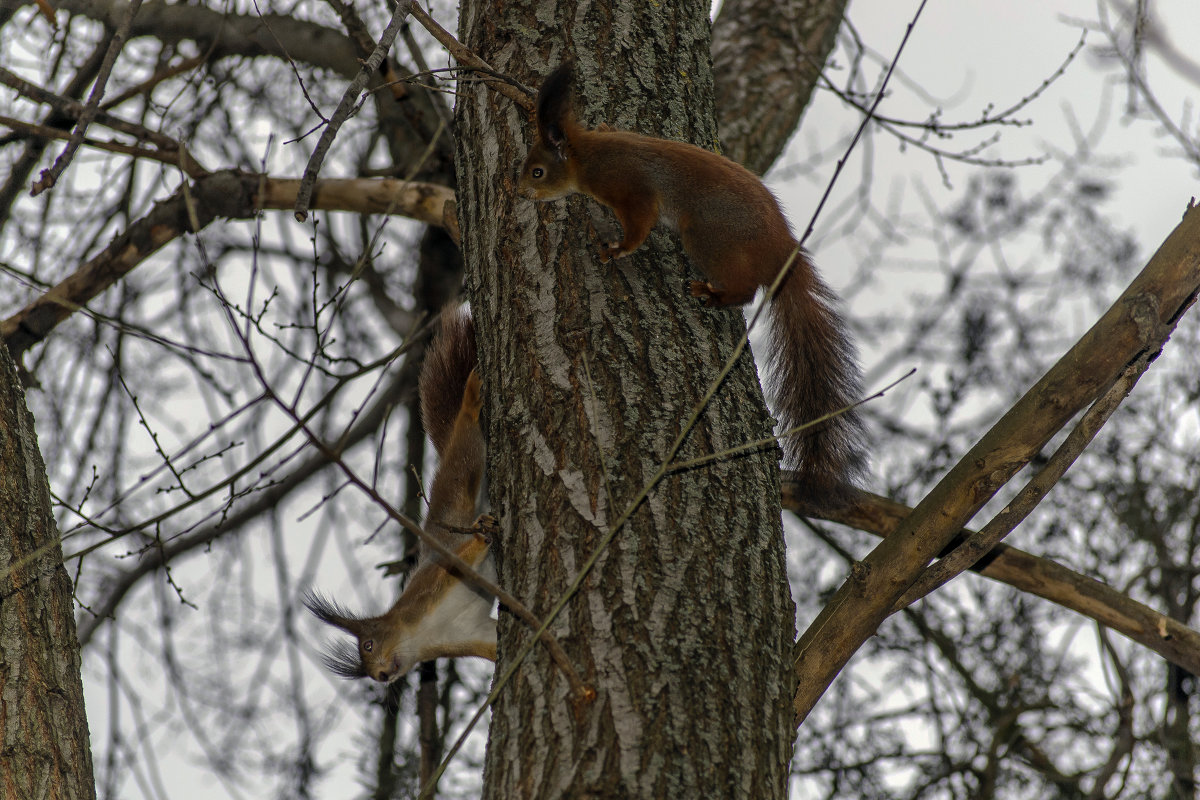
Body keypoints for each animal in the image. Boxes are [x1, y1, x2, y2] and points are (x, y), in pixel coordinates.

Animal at [307, 307, 499, 681]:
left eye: (368, 645)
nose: (381, 677)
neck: (420, 635)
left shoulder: (429, 589)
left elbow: (459, 559)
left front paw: (482, 537)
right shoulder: (468, 633)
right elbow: (492, 644)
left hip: (459, 480)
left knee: (465, 443)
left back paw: (470, 401)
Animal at [520, 62, 868, 503]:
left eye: (537, 171)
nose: (519, 192)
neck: (587, 155)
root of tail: (780, 249)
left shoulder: (628, 189)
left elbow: (639, 225)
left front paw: (615, 249)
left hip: (705, 238)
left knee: (746, 291)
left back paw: (712, 294)